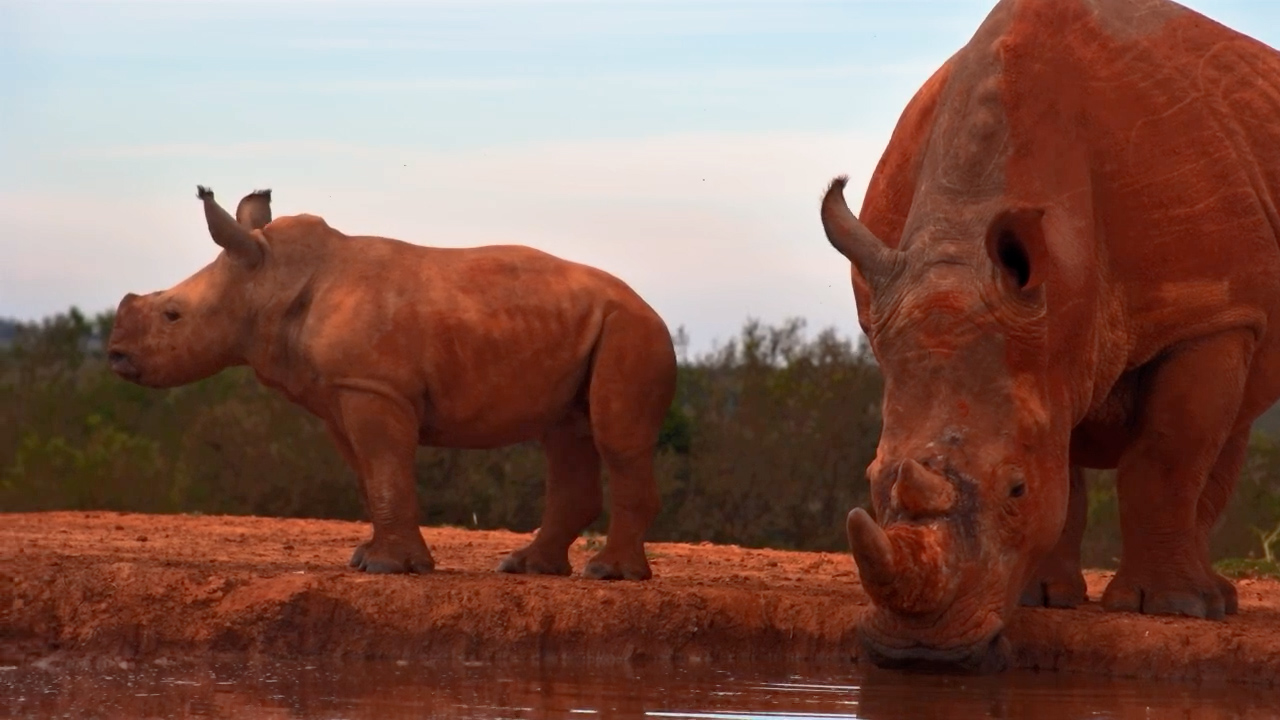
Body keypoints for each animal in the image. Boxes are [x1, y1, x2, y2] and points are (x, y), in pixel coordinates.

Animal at [107, 187, 677, 581]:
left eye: (173, 315)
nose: (115, 356)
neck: (269, 279)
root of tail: (651, 307)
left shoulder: (373, 387)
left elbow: (384, 468)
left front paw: (390, 568)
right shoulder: (340, 390)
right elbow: (367, 474)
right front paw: (366, 558)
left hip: (632, 331)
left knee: (614, 437)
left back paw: (608, 575)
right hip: (589, 327)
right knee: (565, 435)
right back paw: (526, 567)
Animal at [819, 0, 1280, 672]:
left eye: (1015, 489)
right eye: (873, 479)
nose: (922, 652)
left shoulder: (1210, 314)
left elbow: (1167, 456)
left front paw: (1170, 610)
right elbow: (1063, 466)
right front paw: (1043, 598)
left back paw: (1210, 603)